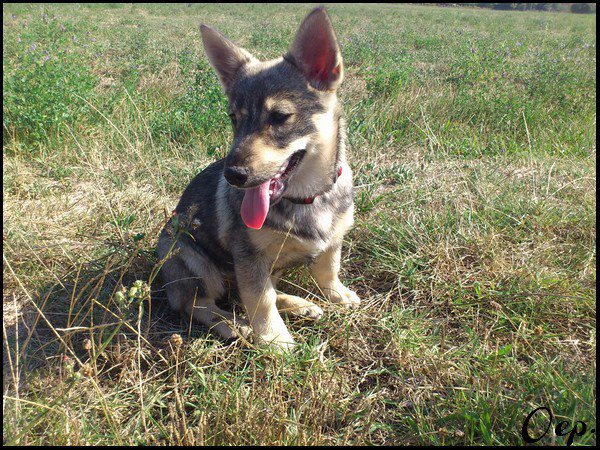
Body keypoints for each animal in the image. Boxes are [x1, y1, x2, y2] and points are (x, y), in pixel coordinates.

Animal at [157, 7, 358, 352]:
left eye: (279, 117)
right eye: (233, 119)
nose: (233, 175)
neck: (306, 197)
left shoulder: (333, 240)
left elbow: (328, 269)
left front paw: (337, 293)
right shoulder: (249, 258)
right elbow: (259, 299)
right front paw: (275, 339)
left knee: (260, 291)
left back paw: (299, 304)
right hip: (193, 261)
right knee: (195, 303)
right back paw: (231, 324)